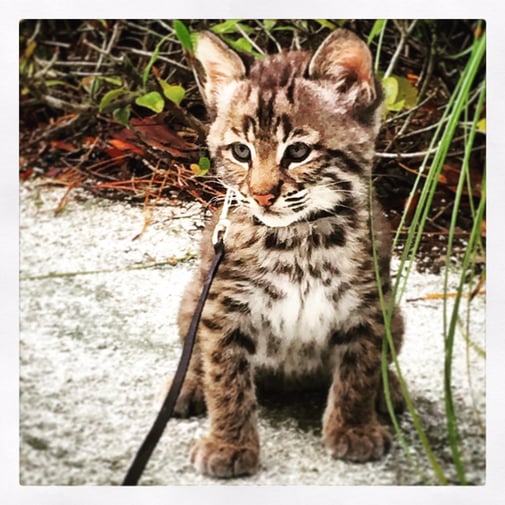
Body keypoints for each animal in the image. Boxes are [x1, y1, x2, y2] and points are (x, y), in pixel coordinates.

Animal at [175, 28, 404, 476]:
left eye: (298, 152)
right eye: (240, 152)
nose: (261, 196)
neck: (300, 238)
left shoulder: (369, 303)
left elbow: (362, 368)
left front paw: (354, 428)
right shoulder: (223, 305)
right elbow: (224, 376)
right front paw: (229, 444)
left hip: (398, 315)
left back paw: (392, 392)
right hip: (194, 294)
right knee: (192, 351)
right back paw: (187, 386)